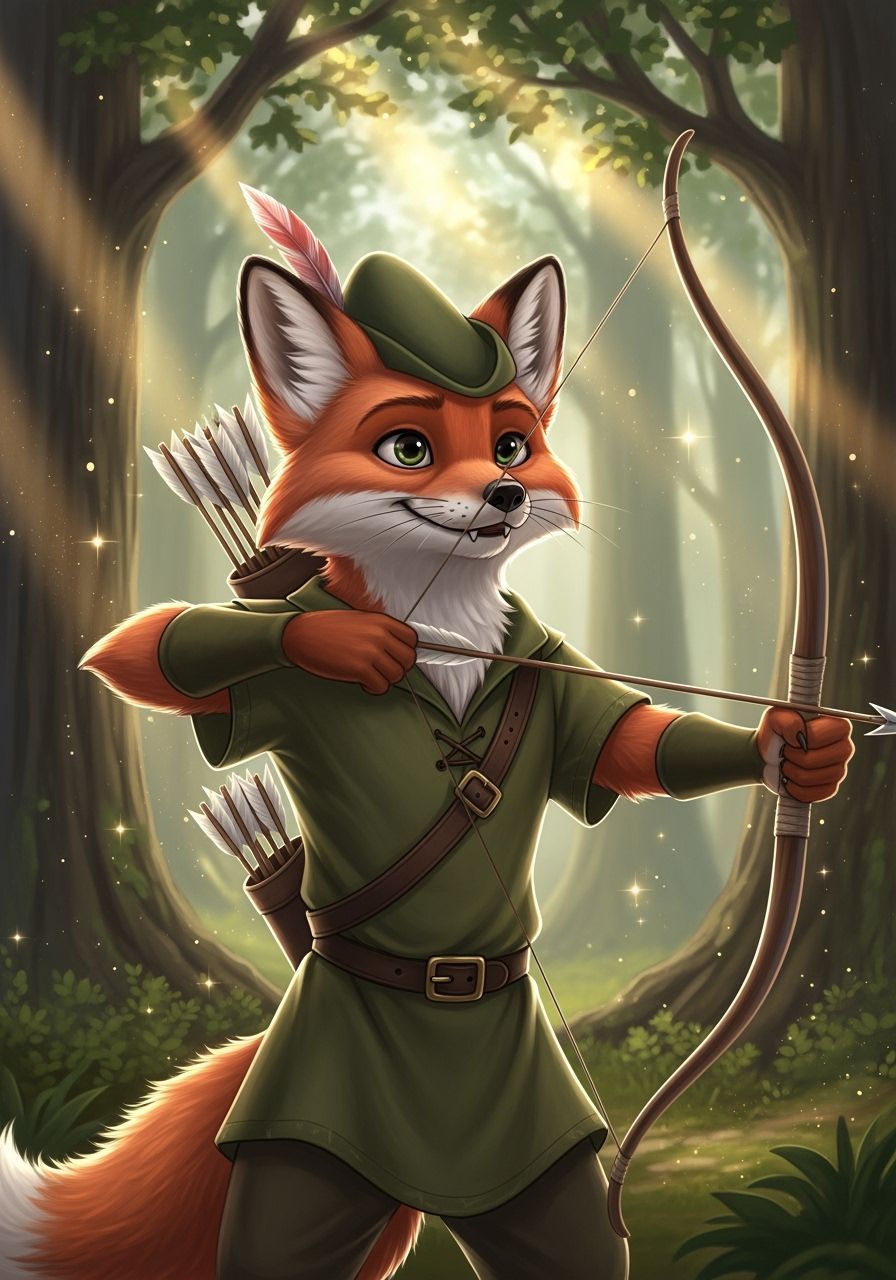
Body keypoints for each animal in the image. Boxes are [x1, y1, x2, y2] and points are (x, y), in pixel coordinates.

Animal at [1, 197, 854, 1280]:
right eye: (407, 446)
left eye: (511, 446)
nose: (502, 495)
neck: (440, 612)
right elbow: (136, 643)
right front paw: (343, 640)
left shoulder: (551, 665)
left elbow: (632, 744)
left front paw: (801, 747)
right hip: (300, 1160)